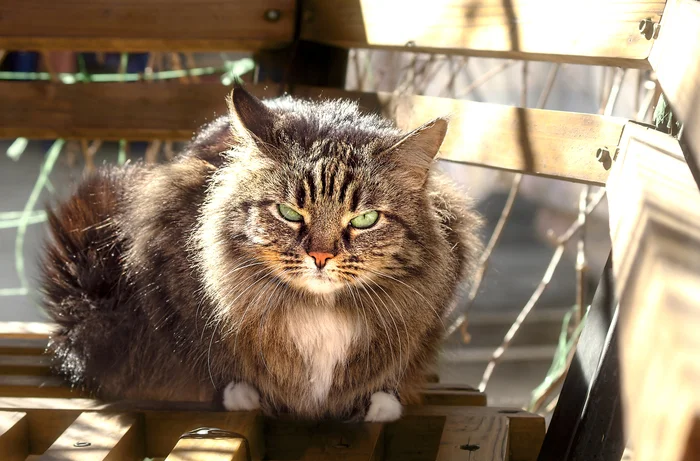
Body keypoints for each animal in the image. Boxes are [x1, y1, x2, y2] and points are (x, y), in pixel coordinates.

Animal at [39, 83, 482, 420]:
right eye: (289, 213)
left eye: (365, 220)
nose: (321, 257)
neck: (319, 310)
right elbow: (214, 356)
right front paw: (243, 393)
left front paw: (380, 402)